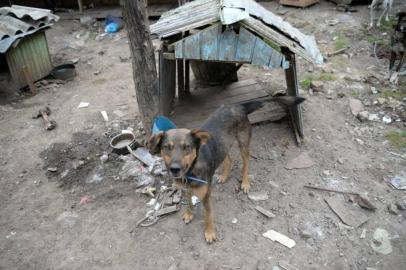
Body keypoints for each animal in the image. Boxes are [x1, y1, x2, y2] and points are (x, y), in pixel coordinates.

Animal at [149, 96, 304, 243]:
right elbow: (188, 203)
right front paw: (189, 214)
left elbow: (208, 215)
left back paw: (245, 183)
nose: (174, 169)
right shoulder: (185, 189)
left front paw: (209, 233)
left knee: (246, 163)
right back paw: (224, 176)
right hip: (224, 145)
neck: (190, 172)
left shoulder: (206, 196)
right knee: (229, 159)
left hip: (243, 142)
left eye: (186, 147)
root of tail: (238, 106)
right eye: (166, 148)